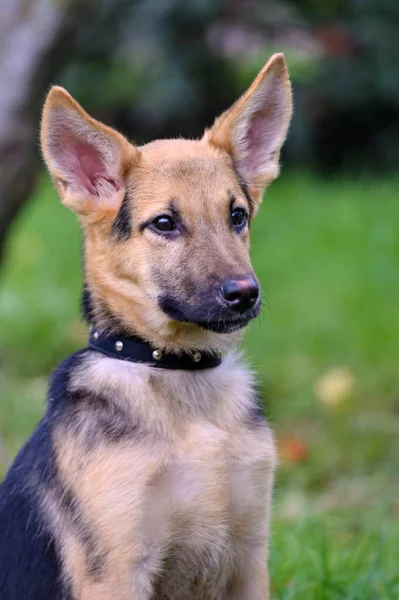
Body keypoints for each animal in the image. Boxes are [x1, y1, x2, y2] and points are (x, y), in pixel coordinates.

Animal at [0, 54, 294, 596]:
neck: (178, 369)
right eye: (164, 224)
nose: (245, 294)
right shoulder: (118, 566)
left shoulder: (249, 555)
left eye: (237, 216)